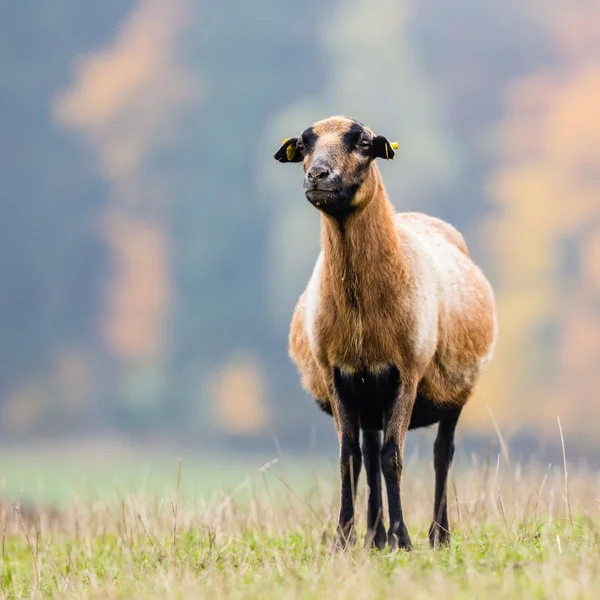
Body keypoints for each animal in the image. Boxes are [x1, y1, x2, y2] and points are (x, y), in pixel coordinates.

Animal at [274, 115, 494, 552]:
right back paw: (374, 537)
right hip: (369, 398)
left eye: (363, 143)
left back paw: (437, 535)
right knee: (369, 452)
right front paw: (343, 540)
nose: (317, 175)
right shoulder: (337, 375)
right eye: (303, 145)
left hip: (453, 393)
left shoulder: (406, 374)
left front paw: (403, 539)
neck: (362, 316)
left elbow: (394, 458)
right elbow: (349, 458)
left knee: (441, 454)